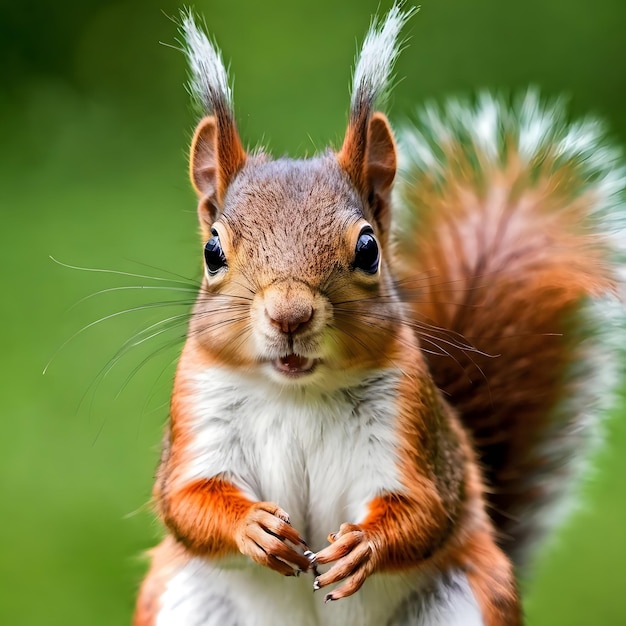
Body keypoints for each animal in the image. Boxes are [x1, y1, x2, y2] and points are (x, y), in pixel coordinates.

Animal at [133, 4, 624, 624]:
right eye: (212, 251)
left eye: (368, 249)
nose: (290, 316)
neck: (298, 394)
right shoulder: (197, 409)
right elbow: (184, 500)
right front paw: (253, 527)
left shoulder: (413, 421)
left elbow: (424, 508)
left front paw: (362, 546)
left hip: (465, 597)